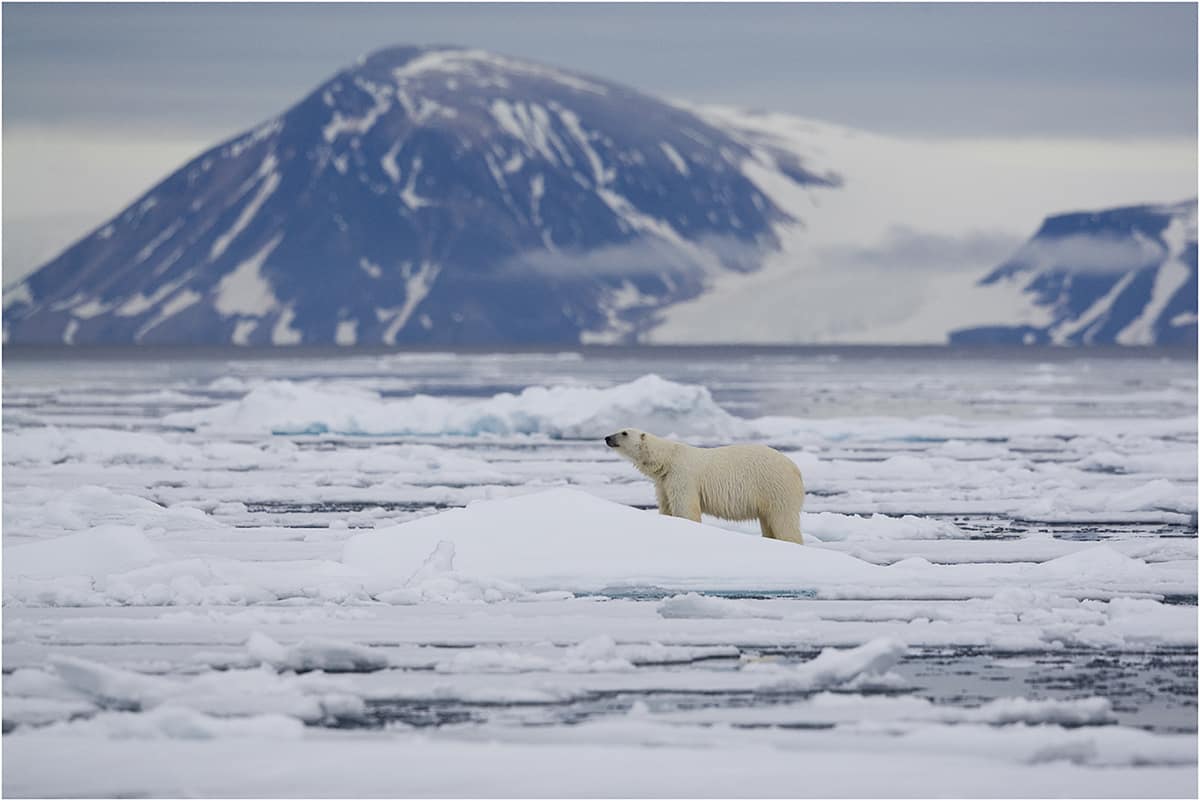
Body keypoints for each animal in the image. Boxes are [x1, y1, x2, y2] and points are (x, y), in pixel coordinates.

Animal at [609, 424, 806, 544]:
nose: (607, 438)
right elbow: (666, 506)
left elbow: (686, 509)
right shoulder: (664, 482)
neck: (668, 458)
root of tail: (795, 468)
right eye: (618, 430)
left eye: (624, 432)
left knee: (783, 519)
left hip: (775, 486)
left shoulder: (682, 476)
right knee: (768, 521)